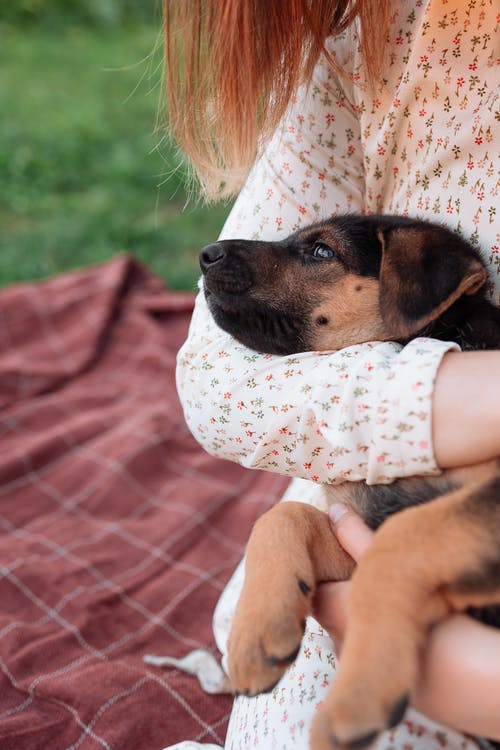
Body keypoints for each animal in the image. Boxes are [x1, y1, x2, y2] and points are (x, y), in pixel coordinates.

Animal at [200, 213, 500, 750]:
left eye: (322, 252)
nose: (206, 254)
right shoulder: (358, 524)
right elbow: (284, 515)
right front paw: (255, 635)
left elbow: (402, 542)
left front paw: (355, 699)